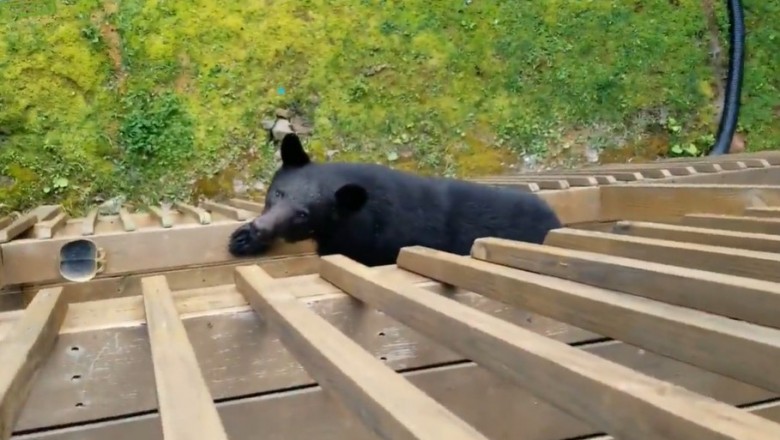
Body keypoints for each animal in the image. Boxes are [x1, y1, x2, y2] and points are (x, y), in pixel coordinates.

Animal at [229, 132, 564, 266]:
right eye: (277, 193)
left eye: (303, 214)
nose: (260, 228)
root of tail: (556, 220)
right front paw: (243, 238)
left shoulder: (369, 242)